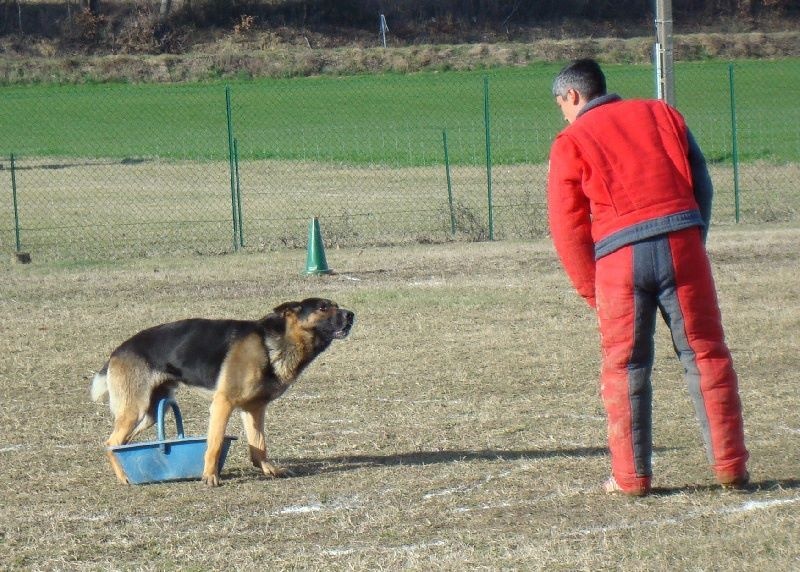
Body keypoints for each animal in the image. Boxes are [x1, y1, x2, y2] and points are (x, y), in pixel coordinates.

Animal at [90, 298, 354, 484]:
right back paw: (124, 477)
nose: (351, 315)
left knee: (121, 443)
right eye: (323, 307)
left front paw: (268, 469)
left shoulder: (254, 409)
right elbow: (215, 443)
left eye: (336, 306)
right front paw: (210, 476)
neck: (271, 344)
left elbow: (259, 445)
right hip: (135, 409)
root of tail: (117, 352)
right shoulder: (222, 403)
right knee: (110, 442)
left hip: (152, 413)